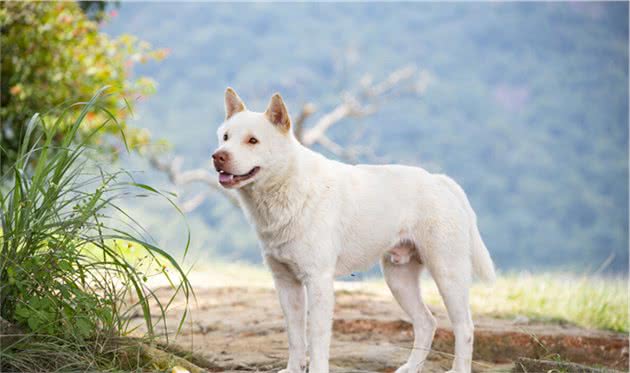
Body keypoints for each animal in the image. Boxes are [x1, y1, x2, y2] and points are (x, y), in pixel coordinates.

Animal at [215, 88, 496, 372]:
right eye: (225, 137)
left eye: (253, 140)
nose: (218, 156)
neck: (286, 186)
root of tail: (440, 180)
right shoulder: (285, 282)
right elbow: (294, 336)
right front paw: (293, 369)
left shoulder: (318, 281)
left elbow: (316, 339)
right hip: (399, 279)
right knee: (427, 322)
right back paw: (410, 367)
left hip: (448, 273)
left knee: (465, 327)